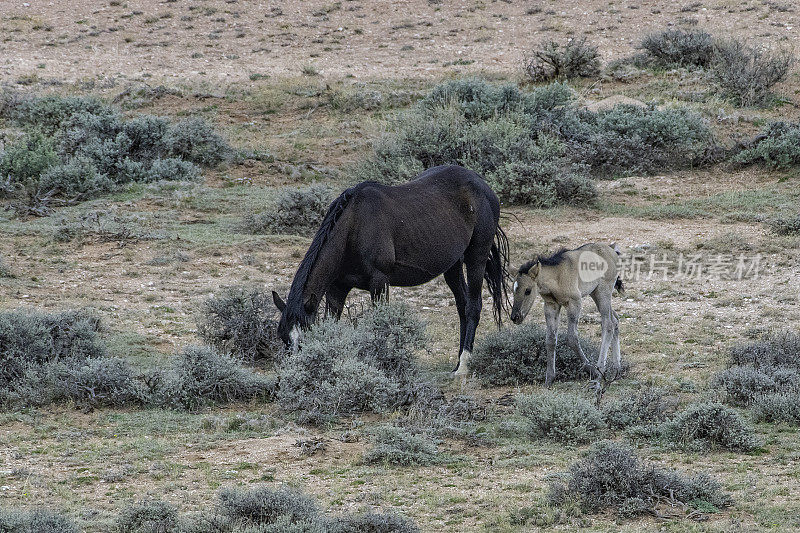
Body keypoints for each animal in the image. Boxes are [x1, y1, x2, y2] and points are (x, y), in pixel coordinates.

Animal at [272, 164, 510, 376]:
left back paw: (464, 366)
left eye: (304, 339)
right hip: (452, 266)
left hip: (476, 257)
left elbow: (382, 325)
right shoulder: (337, 289)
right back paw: (457, 362)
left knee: (473, 306)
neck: (353, 228)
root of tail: (482, 184)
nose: (297, 373)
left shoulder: (379, 282)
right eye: (283, 338)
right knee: (462, 305)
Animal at [512, 242, 624, 386]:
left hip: (603, 291)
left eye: (527, 290)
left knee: (608, 325)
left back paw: (600, 372)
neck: (557, 275)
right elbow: (550, 339)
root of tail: (612, 250)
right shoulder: (551, 306)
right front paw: (549, 378)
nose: (515, 317)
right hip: (595, 293)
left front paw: (592, 370)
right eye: (513, 290)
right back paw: (617, 369)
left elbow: (571, 338)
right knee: (615, 320)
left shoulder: (574, 302)